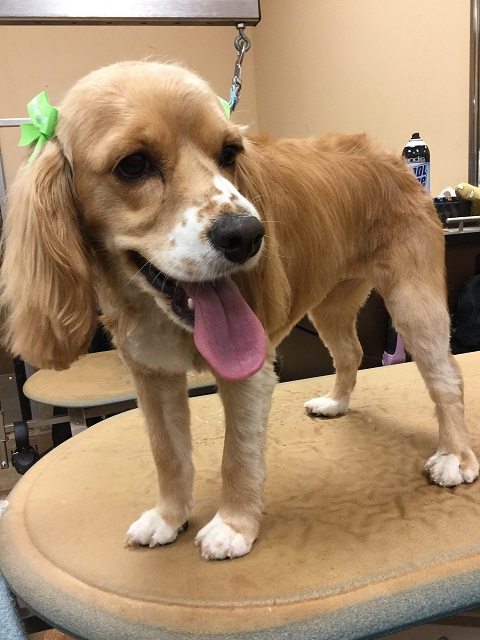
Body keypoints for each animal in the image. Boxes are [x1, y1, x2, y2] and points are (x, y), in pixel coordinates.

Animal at [1, 61, 478, 560]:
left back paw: (455, 457)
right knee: (350, 353)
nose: (248, 235)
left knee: (447, 377)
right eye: (133, 164)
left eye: (228, 152)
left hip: (414, 302)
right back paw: (335, 403)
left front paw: (233, 526)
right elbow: (167, 456)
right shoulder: (152, 378)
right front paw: (169, 518)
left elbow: (238, 455)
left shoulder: (248, 373)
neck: (159, 312)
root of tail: (392, 157)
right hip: (331, 305)